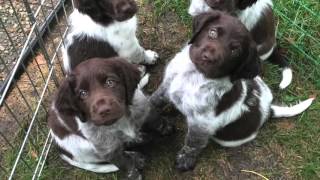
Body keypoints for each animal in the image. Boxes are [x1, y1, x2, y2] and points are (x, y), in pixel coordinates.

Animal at [151, 11, 314, 172]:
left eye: (235, 50)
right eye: (212, 32)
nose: (208, 58)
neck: (195, 74)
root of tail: (268, 109)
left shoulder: (201, 123)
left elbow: (193, 144)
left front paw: (185, 160)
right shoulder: (167, 86)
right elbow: (156, 100)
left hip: (228, 139)